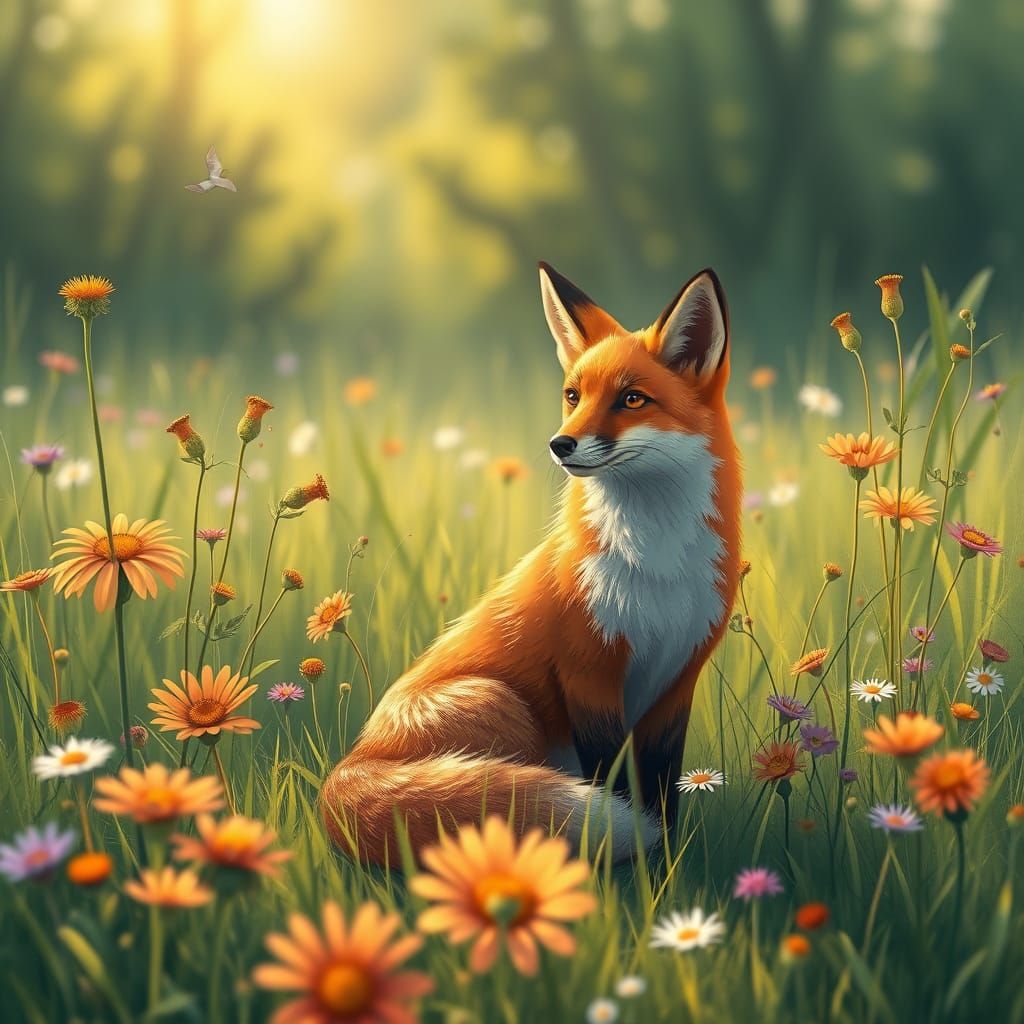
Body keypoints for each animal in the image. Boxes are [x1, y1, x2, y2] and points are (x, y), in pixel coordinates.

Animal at [321, 262, 742, 865]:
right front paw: (635, 857)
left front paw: (665, 862)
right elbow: (613, 783)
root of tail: (352, 761)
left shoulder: (677, 681)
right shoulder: (587, 672)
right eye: (573, 395)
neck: (656, 570)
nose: (560, 444)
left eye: (632, 399)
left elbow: (664, 788)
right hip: (503, 703)